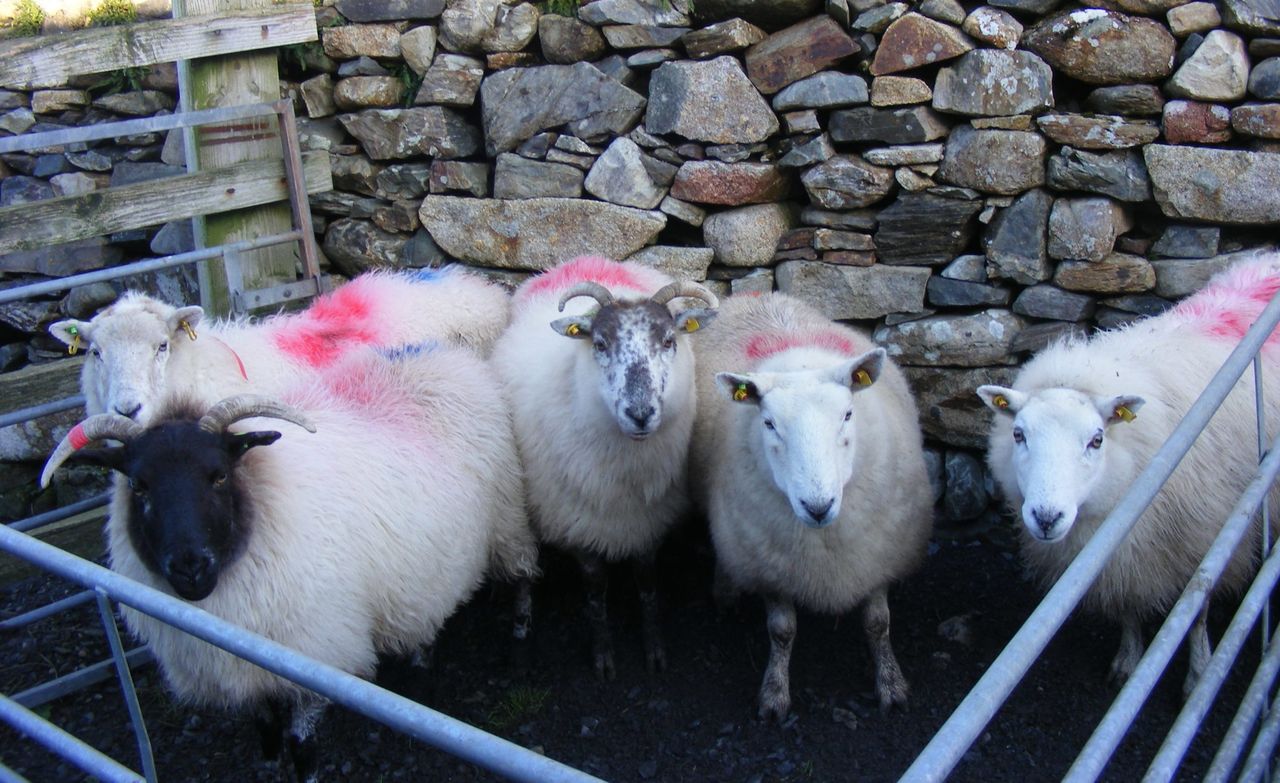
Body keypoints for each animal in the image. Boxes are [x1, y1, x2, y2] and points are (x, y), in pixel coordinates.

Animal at [39, 342, 538, 782]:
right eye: (138, 486)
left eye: (219, 475)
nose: (189, 567)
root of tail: (436, 352)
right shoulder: (248, 663)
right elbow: (264, 727)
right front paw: (267, 760)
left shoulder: (317, 650)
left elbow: (301, 744)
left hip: (507, 520)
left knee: (523, 574)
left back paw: (516, 639)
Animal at [490, 255, 718, 678]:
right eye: (599, 343)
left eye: (669, 341)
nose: (640, 413)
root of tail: (584, 259)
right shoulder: (579, 528)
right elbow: (596, 593)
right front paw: (603, 655)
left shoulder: (647, 523)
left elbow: (648, 587)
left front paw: (654, 649)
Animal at [688, 292, 932, 719]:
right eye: (768, 423)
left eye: (848, 414)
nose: (817, 506)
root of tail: (753, 295)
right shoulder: (769, 565)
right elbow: (782, 631)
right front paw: (774, 694)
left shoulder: (879, 553)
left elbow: (878, 623)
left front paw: (891, 685)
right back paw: (725, 590)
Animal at [977, 250, 1280, 697]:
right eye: (1018, 434)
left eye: (1096, 440)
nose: (1047, 518)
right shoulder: (1123, 552)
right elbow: (1128, 608)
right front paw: (1128, 659)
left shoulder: (1212, 536)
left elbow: (1197, 608)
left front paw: (1199, 673)